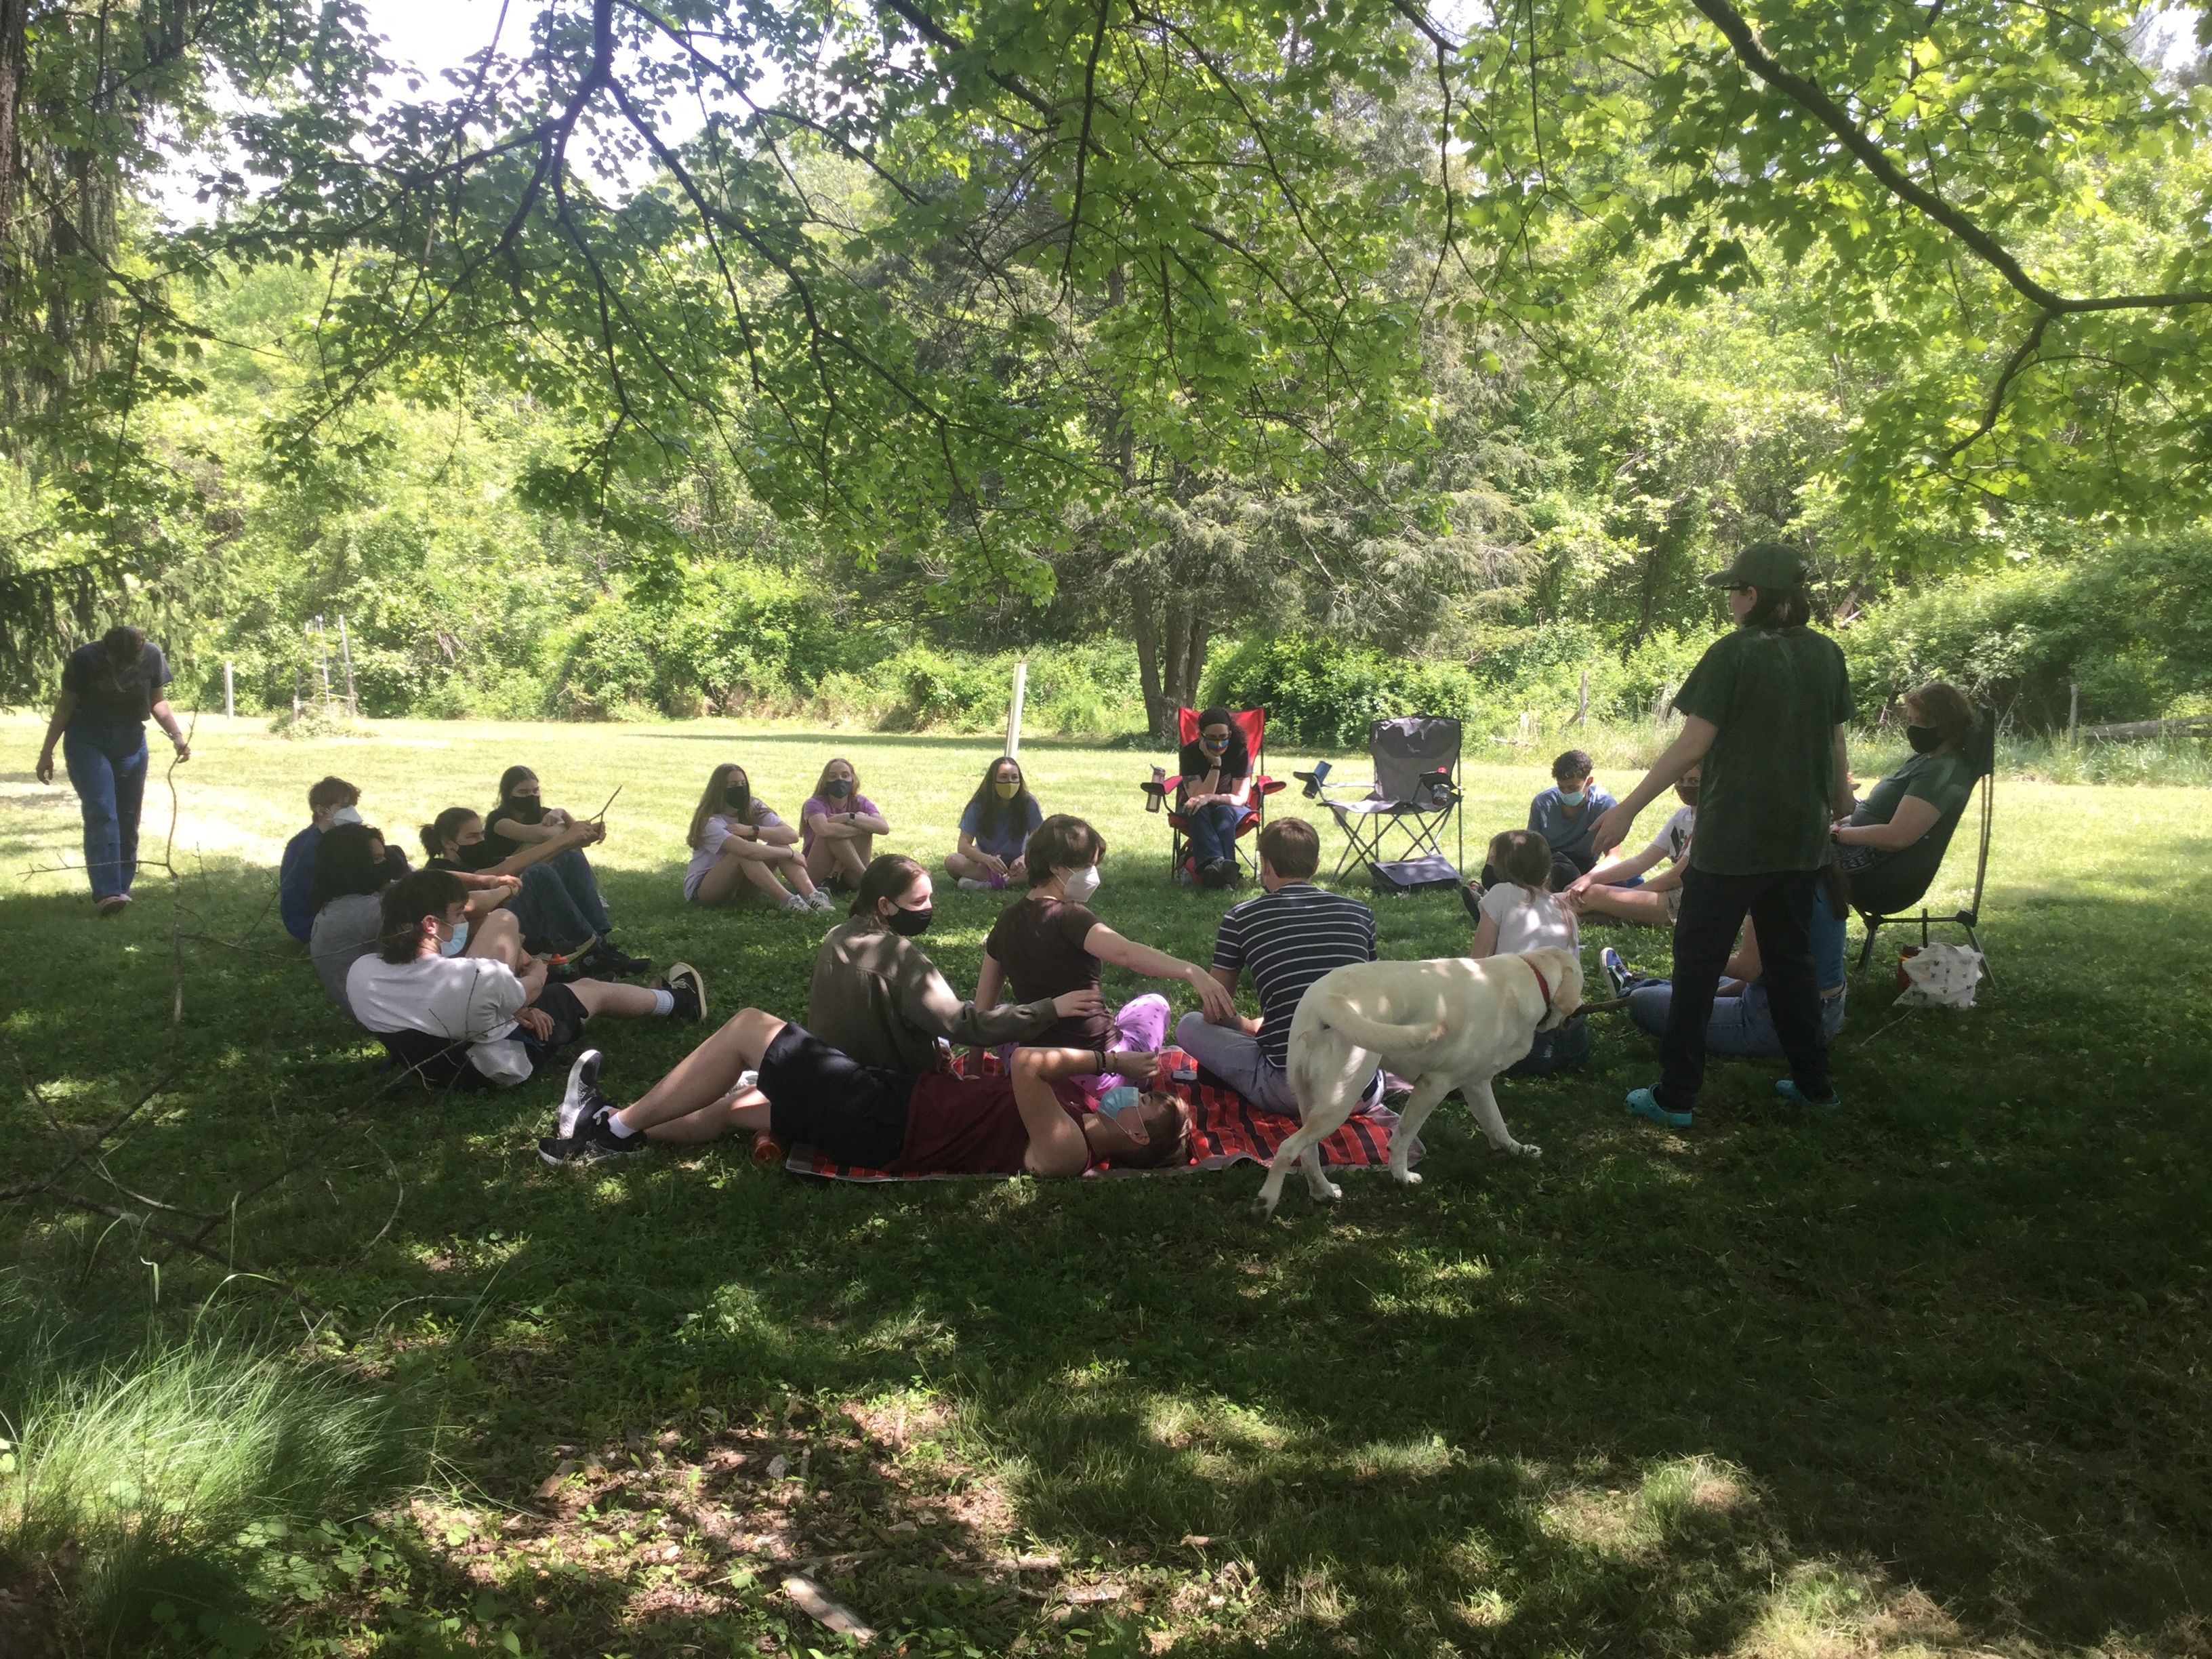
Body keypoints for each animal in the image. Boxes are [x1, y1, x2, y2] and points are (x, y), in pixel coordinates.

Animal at [1256, 946, 1584, 1221]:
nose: (1582, 1008)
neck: (1533, 975)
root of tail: (1329, 999)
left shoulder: (1476, 1084)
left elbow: (1497, 1125)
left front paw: (1517, 1150)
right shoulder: (1434, 1085)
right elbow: (1402, 1138)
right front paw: (1402, 1177)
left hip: (1310, 1098)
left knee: (1308, 1152)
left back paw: (1322, 1191)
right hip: (1340, 1102)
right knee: (1288, 1147)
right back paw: (1266, 1202)